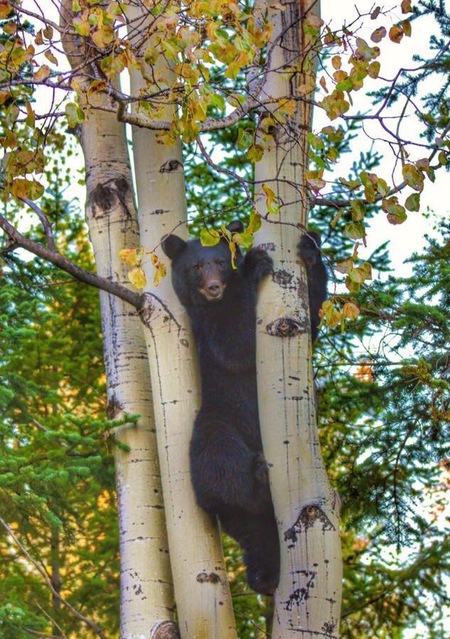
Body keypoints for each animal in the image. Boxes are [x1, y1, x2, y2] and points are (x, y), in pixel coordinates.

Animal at [162, 226, 326, 596]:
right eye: (197, 267)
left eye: (220, 262)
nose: (213, 286)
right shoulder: (205, 324)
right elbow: (235, 342)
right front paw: (254, 263)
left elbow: (311, 317)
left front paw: (310, 248)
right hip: (216, 425)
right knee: (221, 462)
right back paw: (258, 478)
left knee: (259, 535)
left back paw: (265, 576)